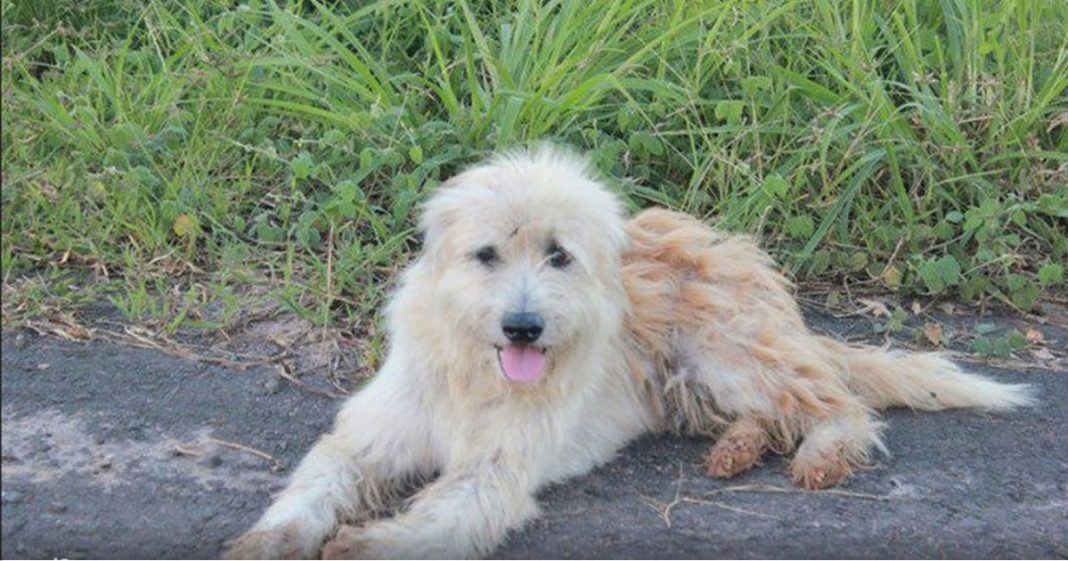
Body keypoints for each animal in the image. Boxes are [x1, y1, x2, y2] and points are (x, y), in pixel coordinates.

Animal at [227, 146, 1033, 555]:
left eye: (559, 256)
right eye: (487, 254)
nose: (523, 327)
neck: (475, 374)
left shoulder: (495, 469)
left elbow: (434, 516)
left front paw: (363, 545)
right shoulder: (369, 438)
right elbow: (313, 486)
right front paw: (271, 541)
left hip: (726, 352)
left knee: (836, 405)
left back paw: (820, 453)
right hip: (696, 380)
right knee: (770, 415)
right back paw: (737, 449)